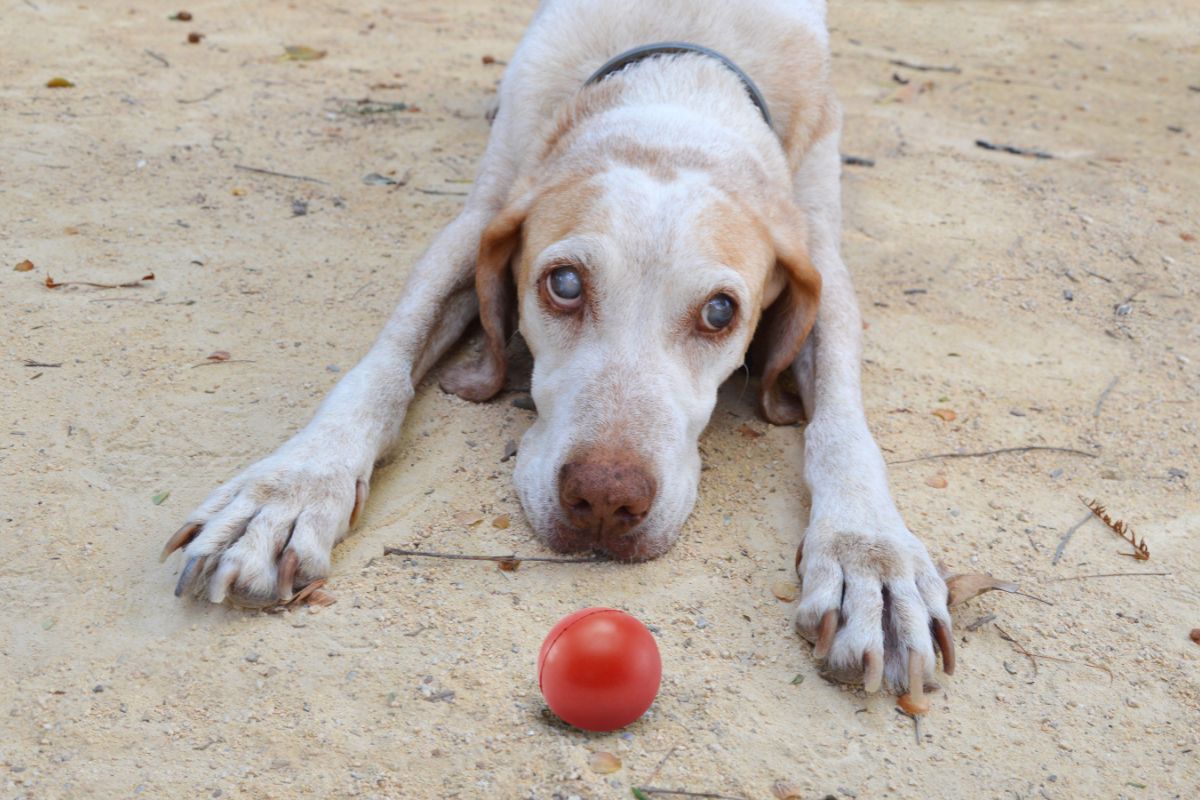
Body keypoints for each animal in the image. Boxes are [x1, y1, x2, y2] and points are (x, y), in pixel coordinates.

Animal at [159, 0, 950, 695]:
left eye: (722, 311)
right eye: (564, 283)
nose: (604, 500)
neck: (680, 79)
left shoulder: (823, 259)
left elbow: (842, 428)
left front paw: (870, 559)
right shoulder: (478, 217)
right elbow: (379, 368)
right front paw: (289, 490)